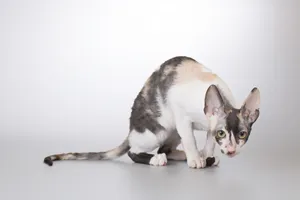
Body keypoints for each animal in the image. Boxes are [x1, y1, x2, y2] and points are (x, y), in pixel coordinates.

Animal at [42, 55, 260, 169]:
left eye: (242, 134)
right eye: (222, 133)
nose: (231, 150)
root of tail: (130, 131)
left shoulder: (208, 126)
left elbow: (208, 141)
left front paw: (206, 155)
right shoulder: (182, 115)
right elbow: (191, 139)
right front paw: (197, 159)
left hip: (172, 132)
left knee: (166, 148)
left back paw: (185, 156)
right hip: (159, 131)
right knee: (134, 151)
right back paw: (158, 159)